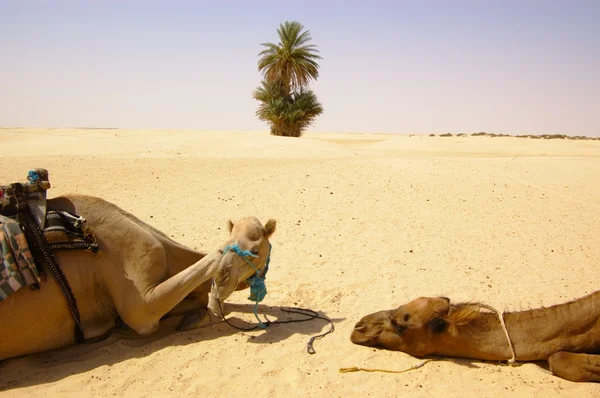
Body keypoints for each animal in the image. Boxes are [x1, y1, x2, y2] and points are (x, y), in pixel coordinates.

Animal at [0, 194, 276, 362]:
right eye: (226, 245)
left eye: (255, 250)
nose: (222, 279)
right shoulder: (140, 305)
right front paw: (203, 314)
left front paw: (193, 316)